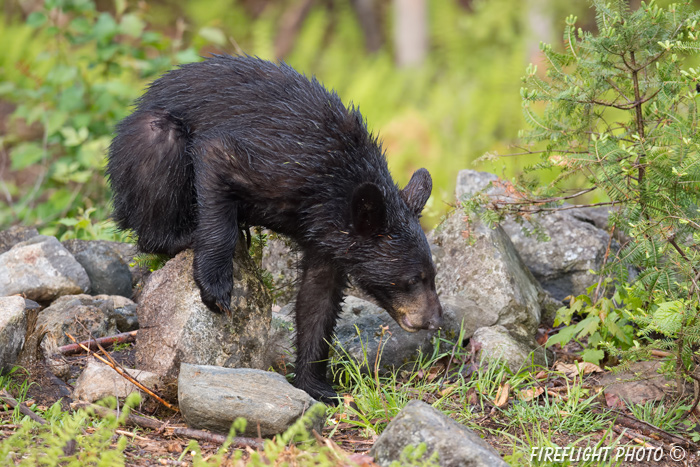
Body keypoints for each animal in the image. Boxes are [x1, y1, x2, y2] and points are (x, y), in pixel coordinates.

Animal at [106, 54, 440, 402]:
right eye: (412, 279)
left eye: (432, 275)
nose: (435, 320)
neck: (331, 185)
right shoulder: (277, 160)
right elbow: (217, 159)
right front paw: (216, 286)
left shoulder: (326, 240)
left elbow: (317, 300)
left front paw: (315, 384)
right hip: (146, 143)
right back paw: (183, 235)